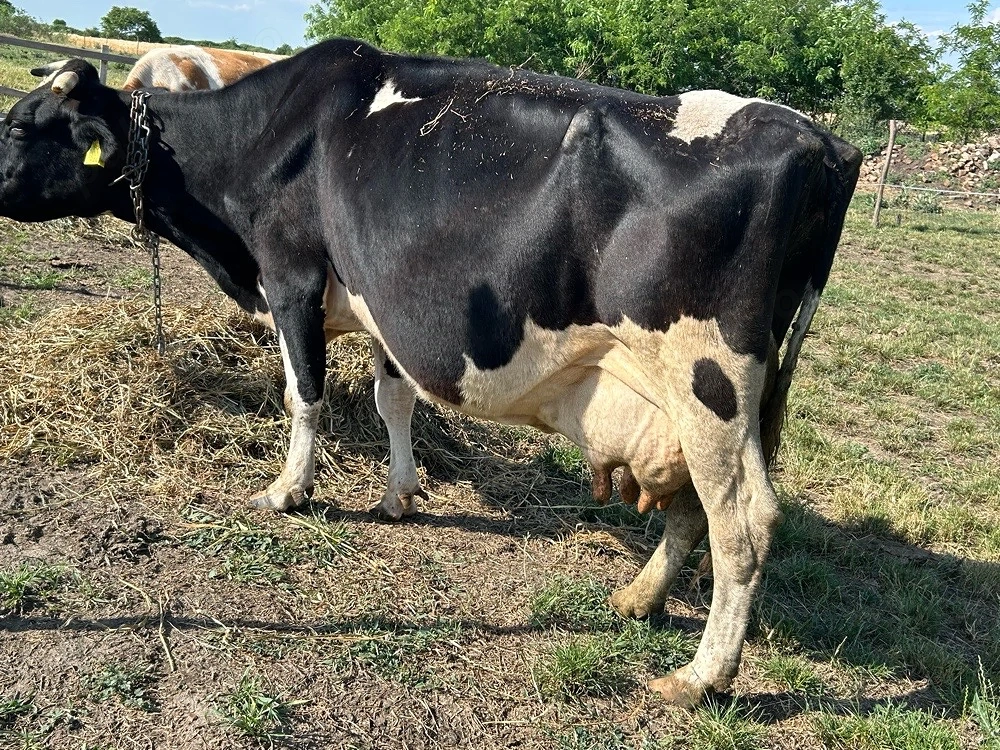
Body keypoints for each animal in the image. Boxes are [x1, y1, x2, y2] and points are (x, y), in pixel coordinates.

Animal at [0, 42, 862, 706]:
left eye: (17, 126)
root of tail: (822, 142)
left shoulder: (291, 278)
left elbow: (304, 393)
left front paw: (289, 491)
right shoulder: (386, 302)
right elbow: (393, 400)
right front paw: (399, 494)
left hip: (709, 379)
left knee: (744, 520)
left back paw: (700, 677)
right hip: (697, 402)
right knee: (695, 507)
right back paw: (639, 599)